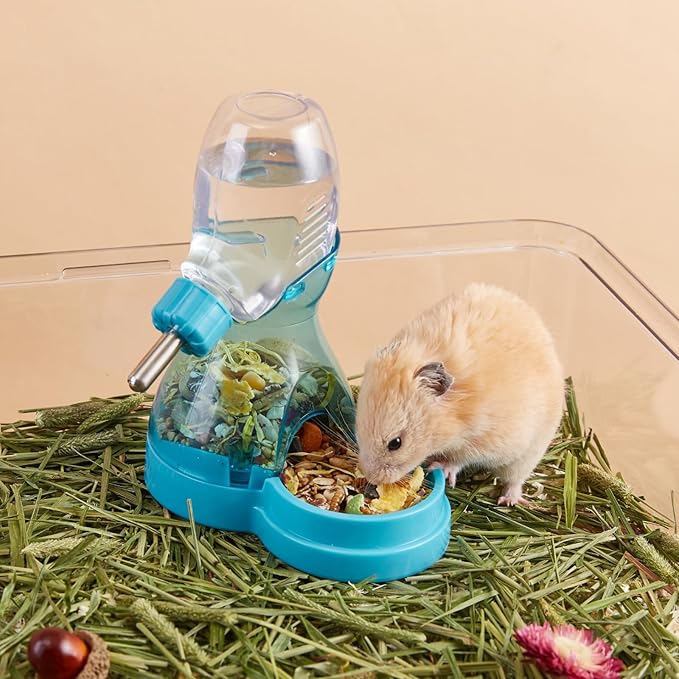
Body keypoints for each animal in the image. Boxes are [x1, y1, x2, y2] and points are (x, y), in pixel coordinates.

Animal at [355, 283, 564, 506]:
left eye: (395, 443)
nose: (371, 478)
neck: (457, 412)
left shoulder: (486, 441)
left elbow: (459, 459)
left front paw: (438, 467)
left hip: (530, 452)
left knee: (515, 479)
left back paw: (509, 501)